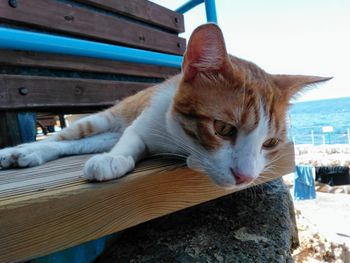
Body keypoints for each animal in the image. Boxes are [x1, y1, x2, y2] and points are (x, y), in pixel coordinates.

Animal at [0, 23, 330, 189]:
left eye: (270, 143)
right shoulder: (142, 124)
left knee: (75, 144)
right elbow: (130, 141)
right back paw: (20, 150)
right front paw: (114, 159)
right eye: (223, 128)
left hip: (104, 134)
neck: (177, 139)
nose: (246, 177)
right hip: (106, 119)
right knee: (62, 136)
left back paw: (29, 155)